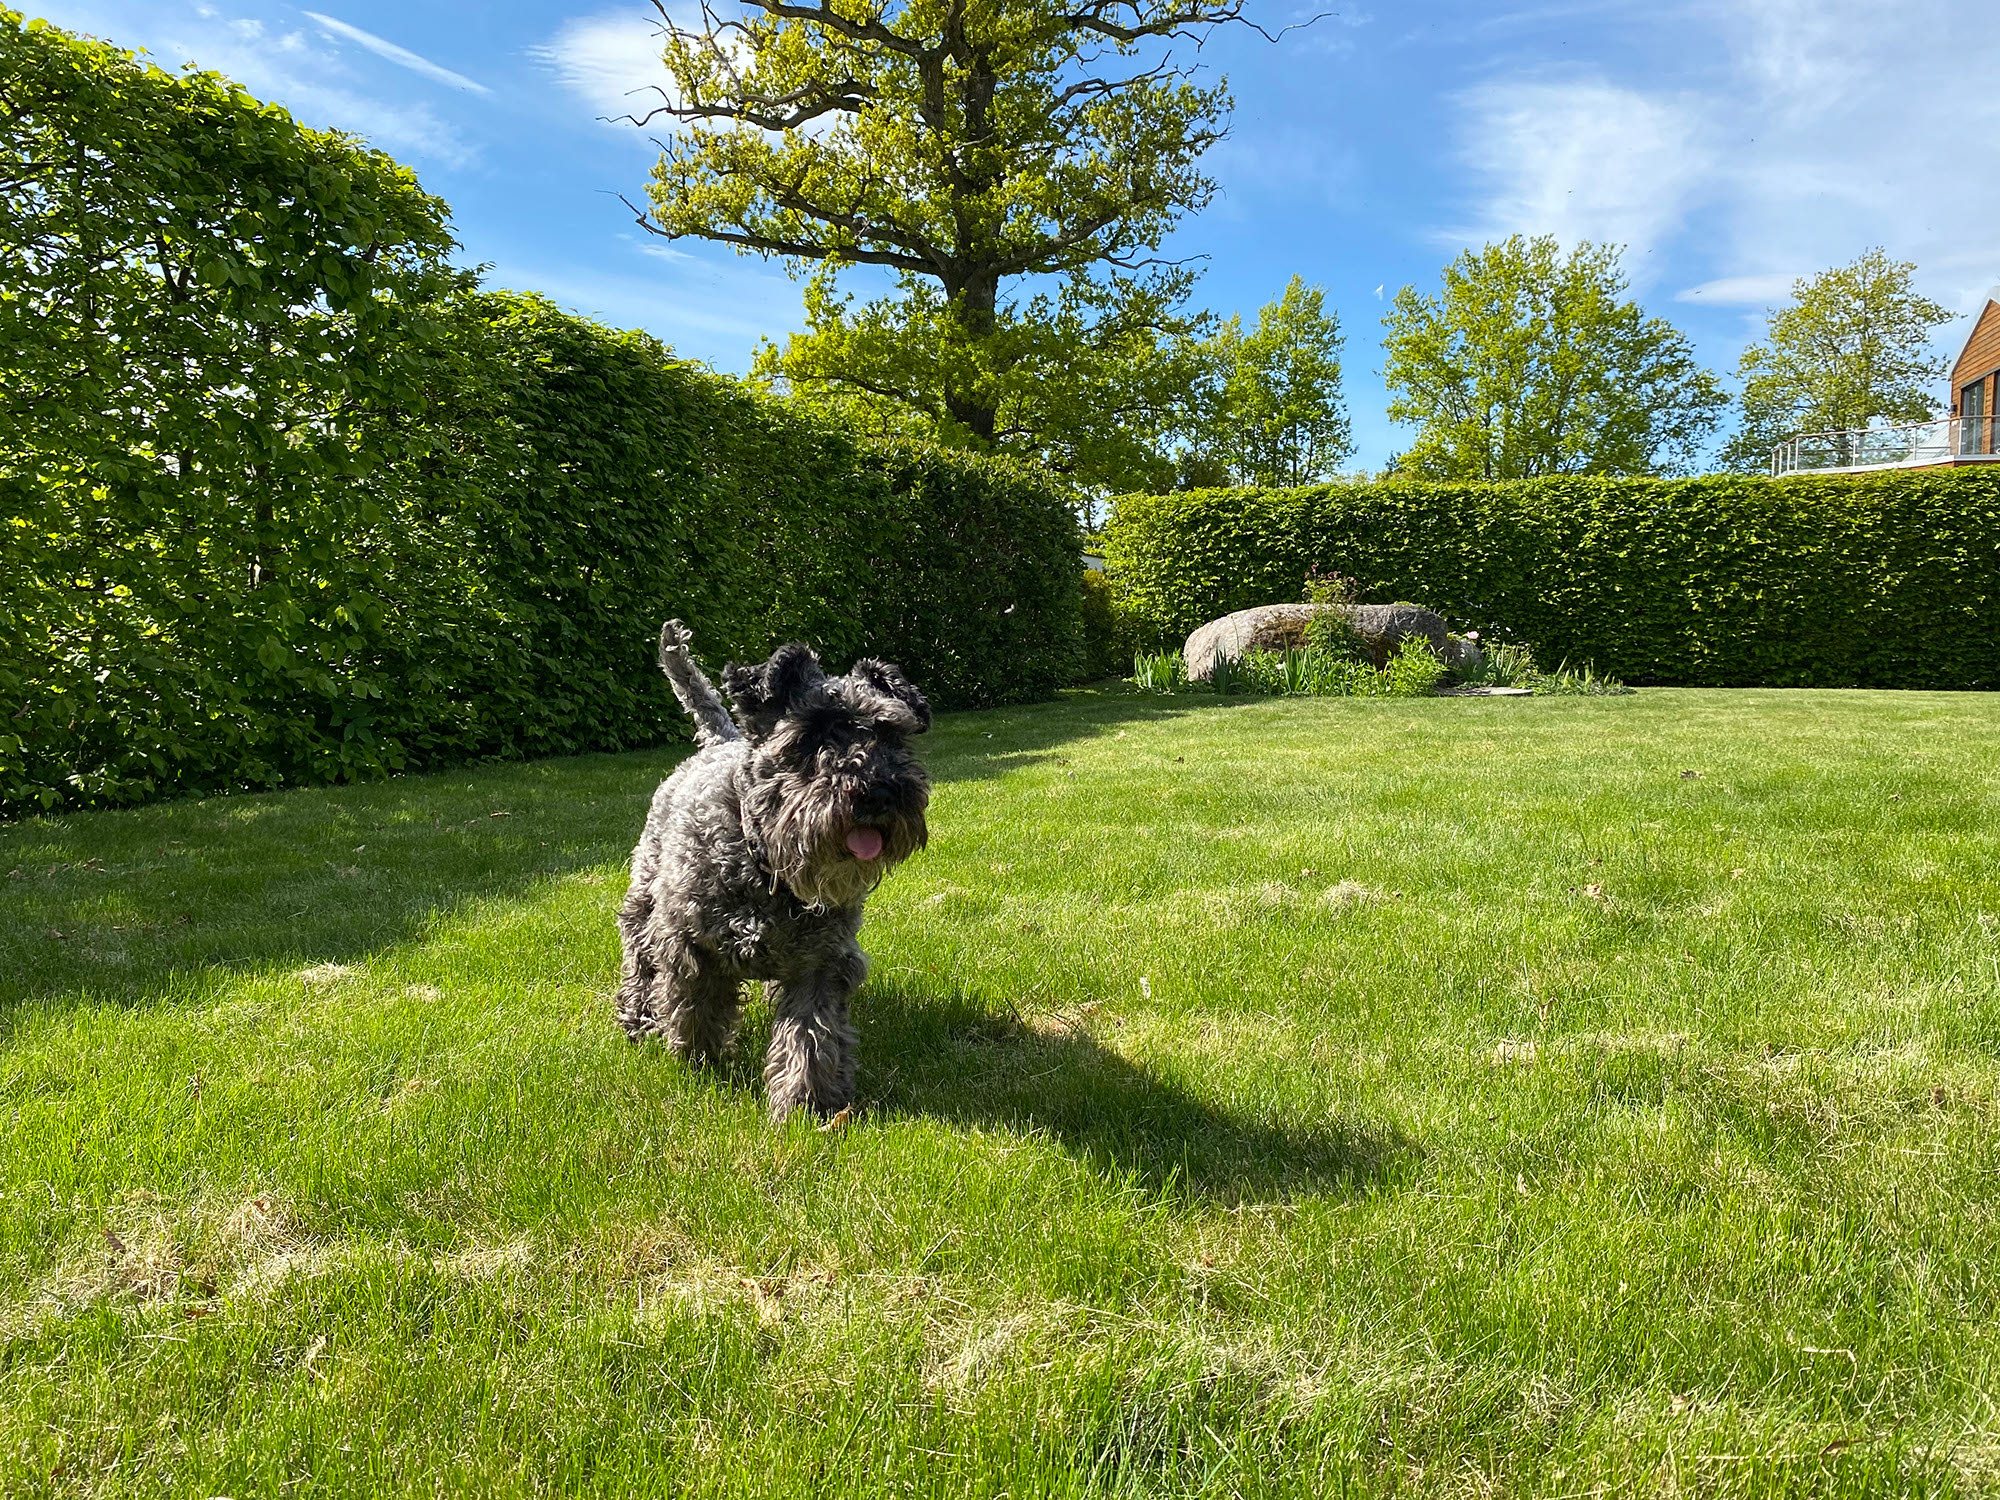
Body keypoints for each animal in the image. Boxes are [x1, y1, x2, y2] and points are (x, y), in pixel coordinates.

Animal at [612, 616, 932, 1120]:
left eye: (890, 734)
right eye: (811, 735)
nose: (879, 791)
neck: (764, 867)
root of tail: (722, 739)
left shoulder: (821, 963)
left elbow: (811, 1035)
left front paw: (807, 1102)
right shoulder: (689, 945)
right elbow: (695, 1007)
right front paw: (697, 1061)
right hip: (643, 899)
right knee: (638, 956)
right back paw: (638, 1018)